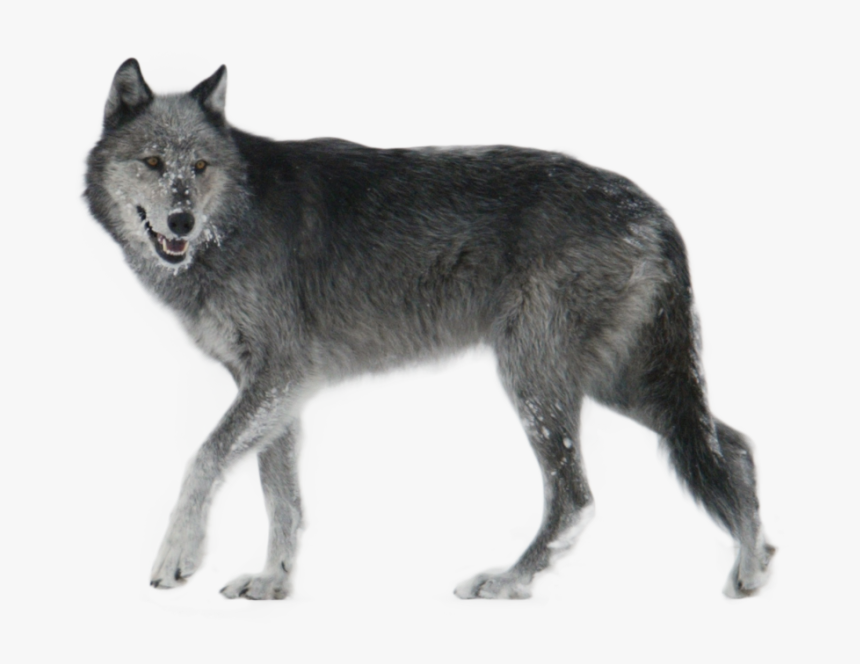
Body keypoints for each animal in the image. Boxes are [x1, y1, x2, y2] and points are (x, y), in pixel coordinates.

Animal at [85, 59, 773, 600]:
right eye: (153, 162)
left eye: (199, 166)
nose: (181, 221)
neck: (238, 217)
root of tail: (653, 209)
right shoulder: (275, 388)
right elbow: (281, 495)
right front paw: (273, 583)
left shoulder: (280, 374)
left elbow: (204, 458)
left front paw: (178, 557)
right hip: (621, 384)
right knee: (734, 445)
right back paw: (752, 569)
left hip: (539, 381)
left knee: (576, 498)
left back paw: (507, 582)